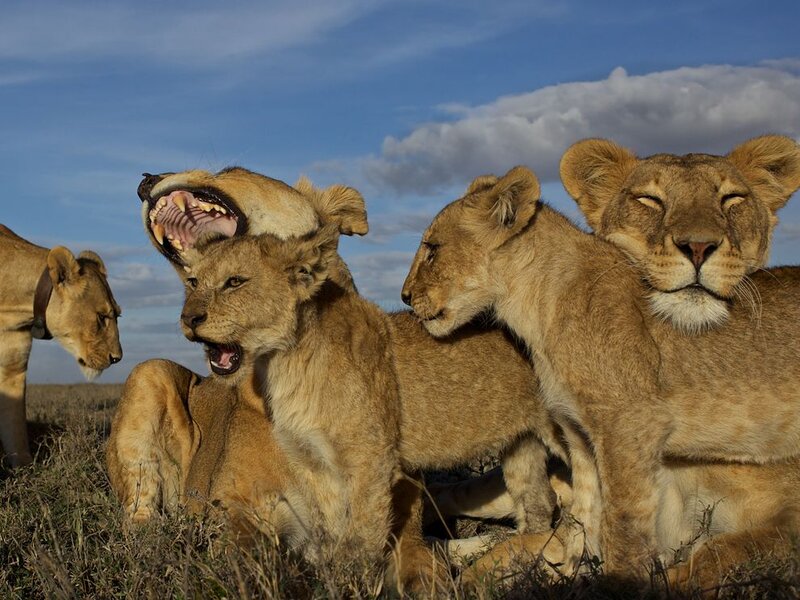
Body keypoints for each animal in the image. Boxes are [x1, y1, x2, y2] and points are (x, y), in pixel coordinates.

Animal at [0, 225, 122, 468]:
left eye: (118, 315)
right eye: (102, 317)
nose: (117, 357)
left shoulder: (13, 370)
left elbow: (15, 428)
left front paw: (26, 469)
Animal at [400, 164, 800, 581]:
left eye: (432, 249)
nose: (405, 296)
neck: (536, 306)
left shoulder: (632, 425)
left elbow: (627, 524)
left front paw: (620, 582)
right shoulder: (578, 431)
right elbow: (585, 517)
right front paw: (571, 573)